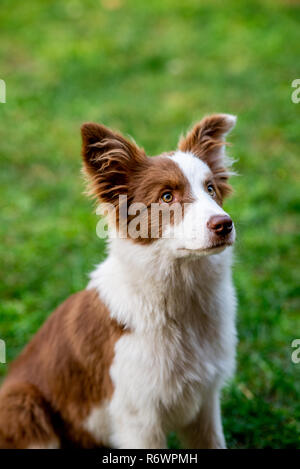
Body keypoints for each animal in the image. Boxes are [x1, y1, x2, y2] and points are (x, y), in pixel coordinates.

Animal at [0, 114, 237, 450]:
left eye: (211, 189)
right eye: (167, 196)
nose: (224, 225)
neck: (180, 301)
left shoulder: (205, 402)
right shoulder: (138, 417)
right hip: (22, 403)